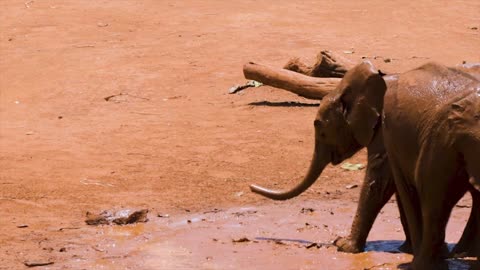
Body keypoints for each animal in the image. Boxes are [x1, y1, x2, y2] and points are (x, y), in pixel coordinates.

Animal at [249, 60, 480, 266]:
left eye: (319, 127)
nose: (251, 187)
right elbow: (394, 187)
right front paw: (404, 249)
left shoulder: (383, 133)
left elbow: (379, 183)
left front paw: (343, 246)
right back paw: (460, 253)